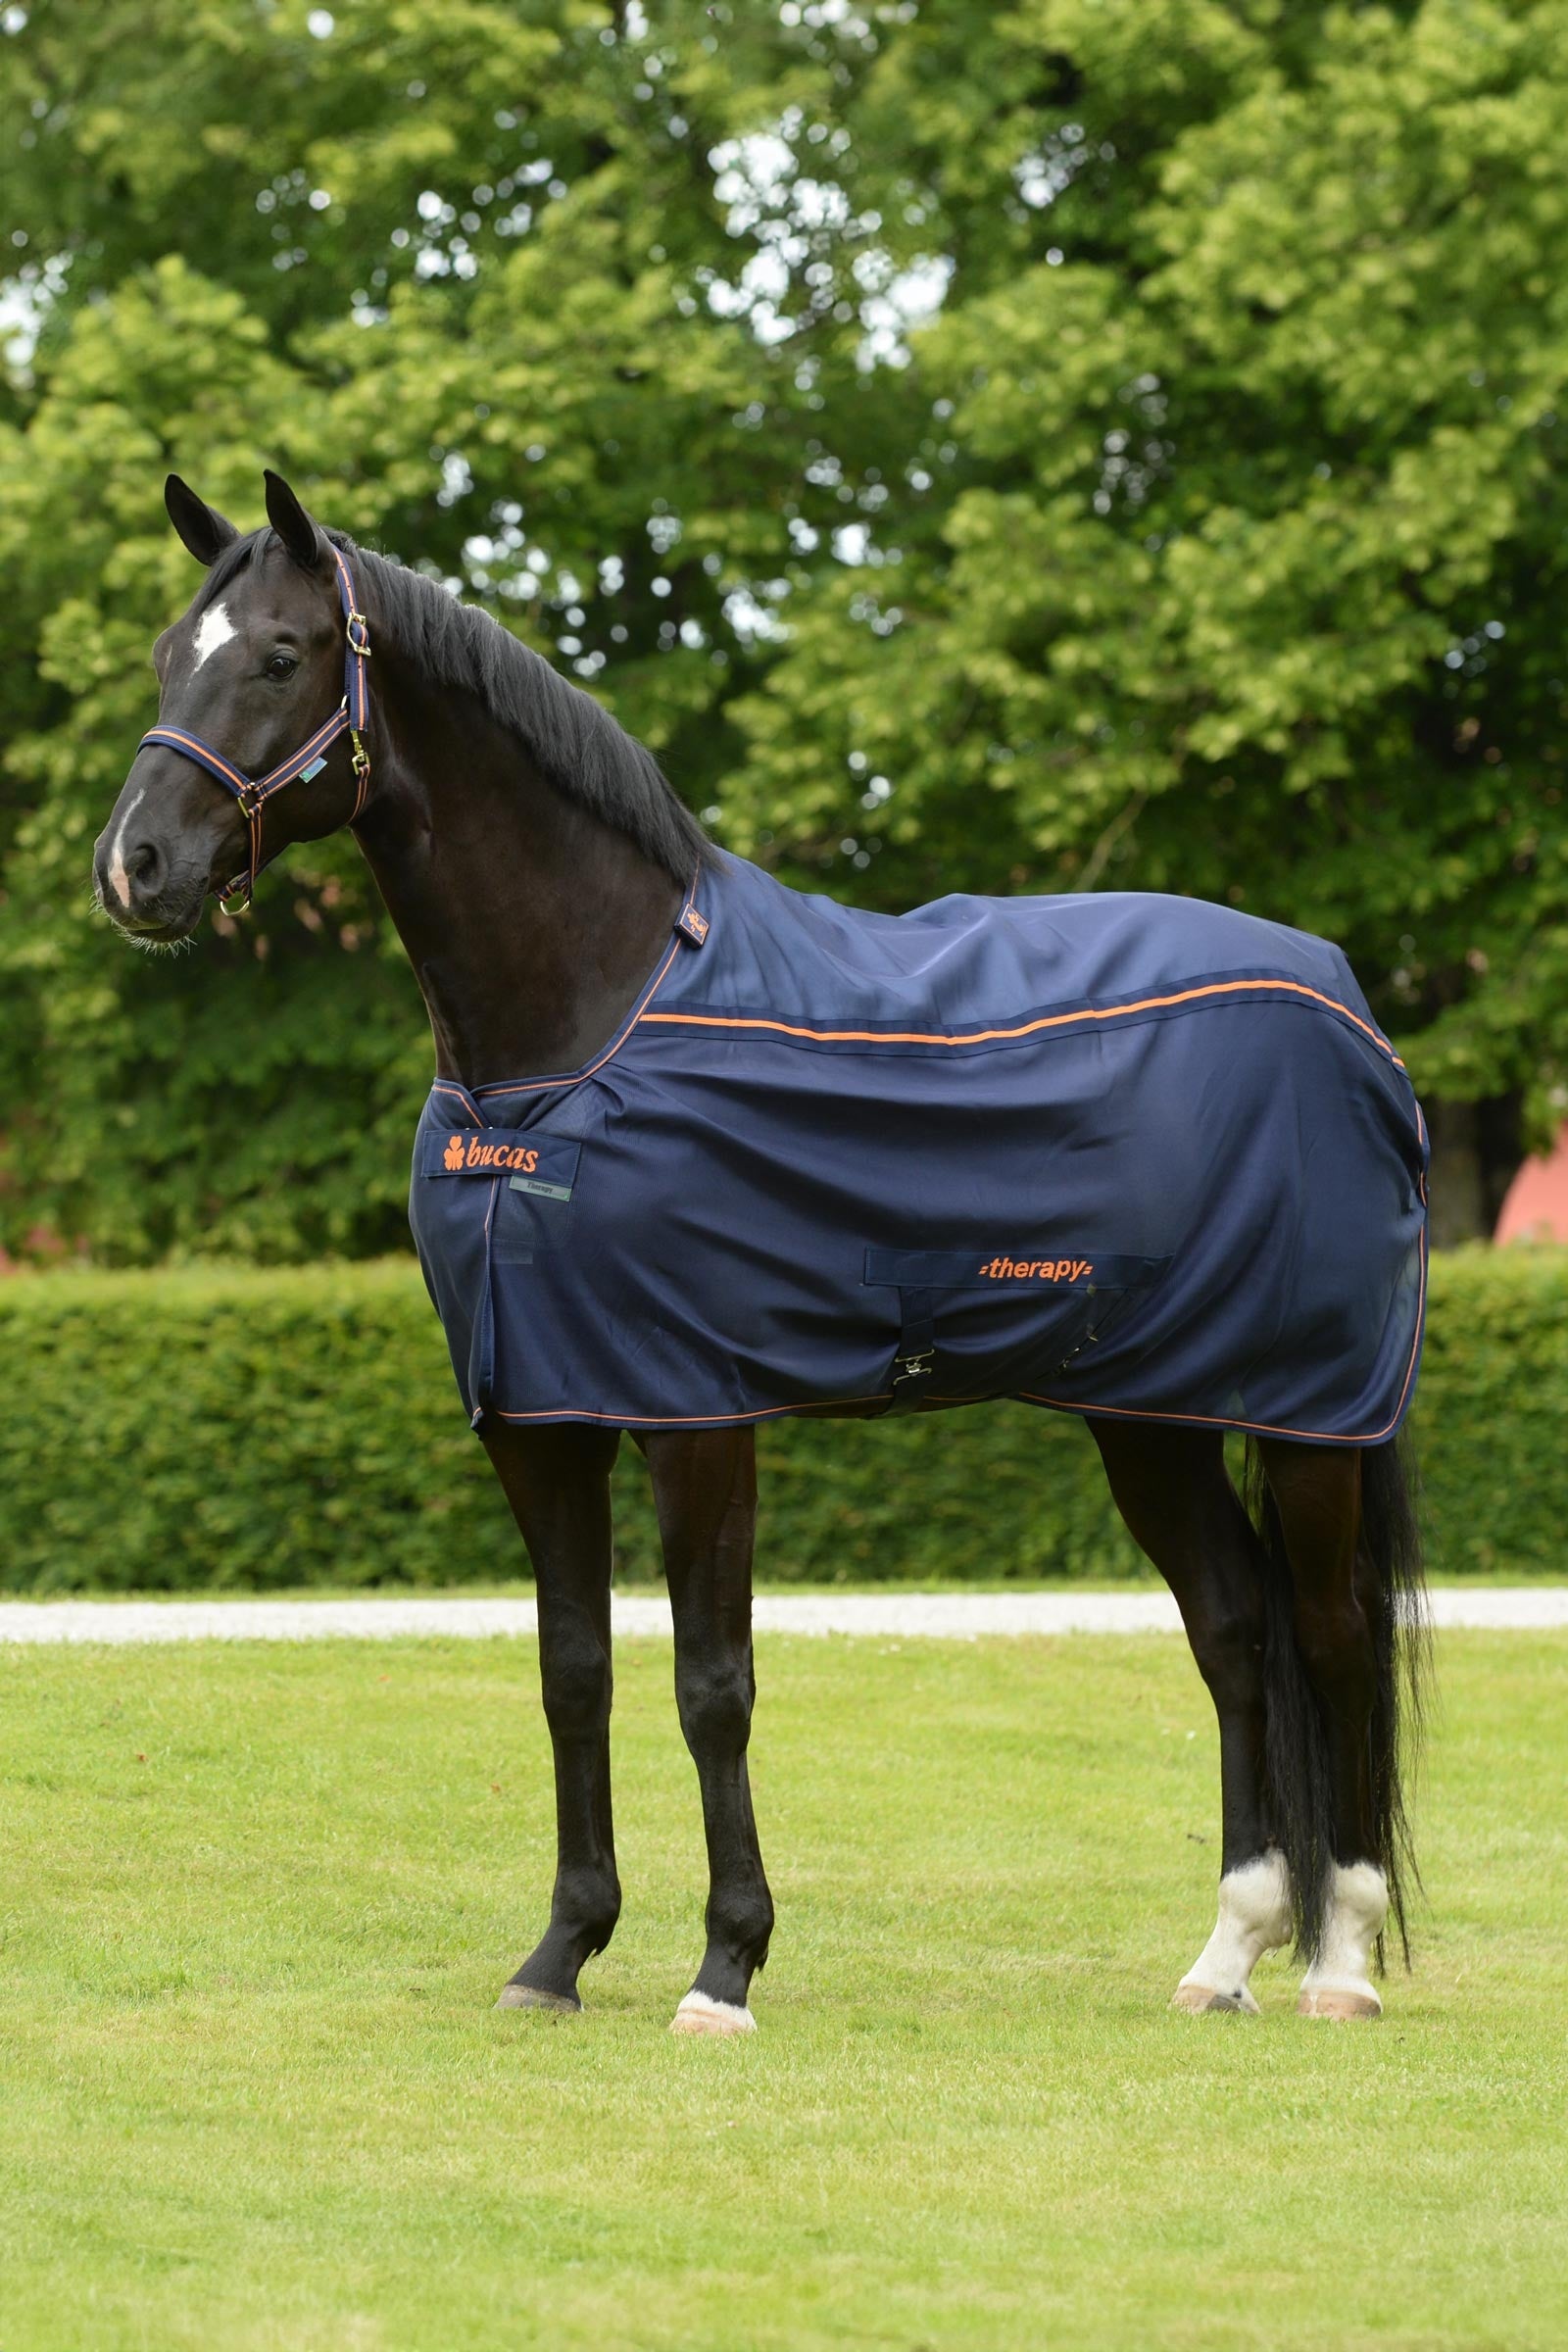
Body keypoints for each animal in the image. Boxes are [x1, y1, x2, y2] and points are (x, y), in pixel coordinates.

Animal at [92, 469, 1429, 2034]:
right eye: (168, 656)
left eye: (282, 657)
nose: (134, 869)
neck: (582, 1024)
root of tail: (1349, 1008)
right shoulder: (539, 1415)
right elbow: (574, 1672)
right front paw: (561, 1953)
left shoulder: (696, 1411)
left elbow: (710, 1684)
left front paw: (724, 1966)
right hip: (1148, 1411)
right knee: (1233, 1632)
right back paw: (1227, 1952)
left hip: (1310, 1416)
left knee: (1329, 1631)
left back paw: (1339, 1962)